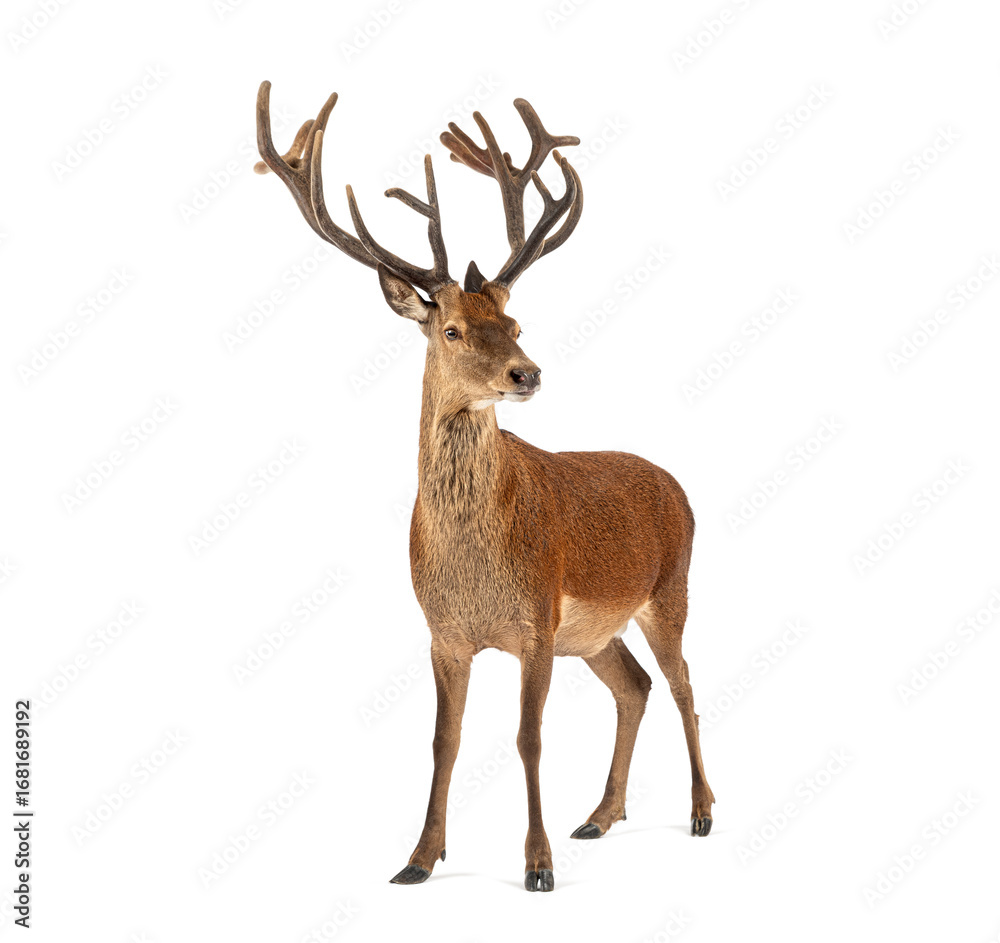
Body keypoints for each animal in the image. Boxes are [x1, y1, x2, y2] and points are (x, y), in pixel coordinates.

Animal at [253, 81, 715, 892]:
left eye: (516, 320)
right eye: (453, 330)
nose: (526, 373)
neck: (475, 563)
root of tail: (677, 483)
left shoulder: (536, 620)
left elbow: (529, 738)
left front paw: (537, 865)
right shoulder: (444, 631)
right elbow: (445, 740)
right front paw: (418, 858)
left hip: (670, 588)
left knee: (686, 682)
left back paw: (700, 810)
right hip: (594, 630)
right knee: (635, 685)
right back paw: (600, 815)